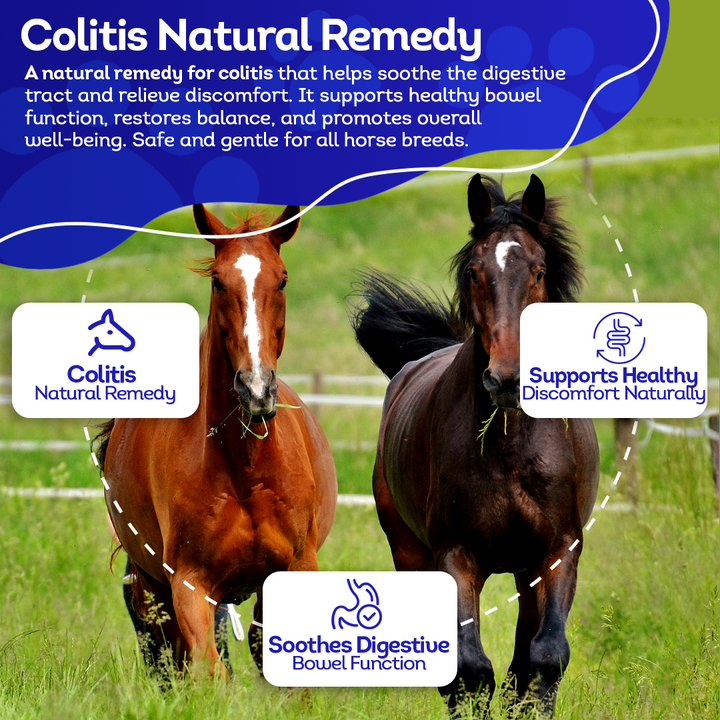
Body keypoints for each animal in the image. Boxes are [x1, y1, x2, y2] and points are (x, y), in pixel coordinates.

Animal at [96, 204, 337, 676]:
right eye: (218, 281)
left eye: (282, 279)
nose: (256, 389)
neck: (244, 467)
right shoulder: (190, 583)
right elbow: (209, 669)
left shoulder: (295, 568)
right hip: (155, 585)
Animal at [351, 174, 599, 715]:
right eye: (473, 271)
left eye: (539, 269)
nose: (506, 379)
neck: (512, 449)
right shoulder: (456, 558)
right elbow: (469, 667)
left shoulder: (558, 551)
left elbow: (544, 657)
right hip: (411, 552)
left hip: (528, 571)